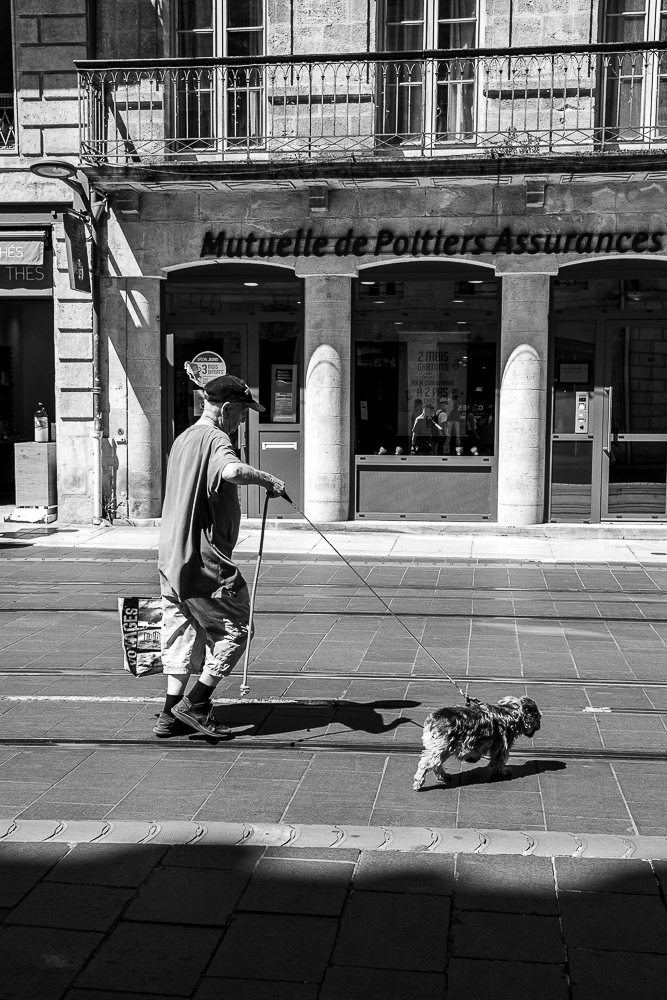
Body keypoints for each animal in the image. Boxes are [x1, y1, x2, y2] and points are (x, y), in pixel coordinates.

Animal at [413, 696, 542, 790]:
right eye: (538, 718)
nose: (540, 726)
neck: (511, 713)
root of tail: (433, 719)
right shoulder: (501, 745)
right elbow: (499, 760)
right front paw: (502, 771)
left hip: (444, 748)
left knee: (436, 763)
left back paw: (443, 775)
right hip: (443, 746)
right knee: (426, 764)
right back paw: (418, 783)